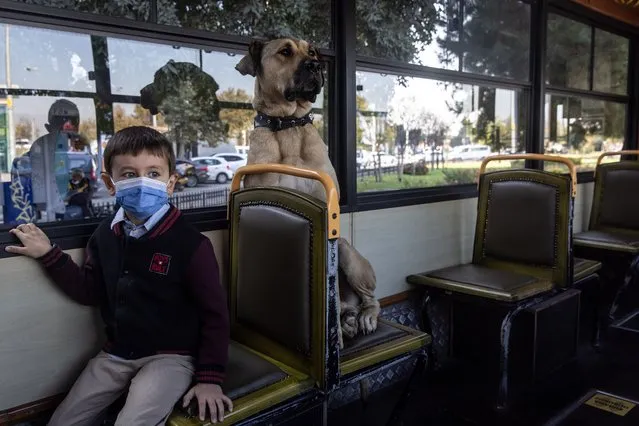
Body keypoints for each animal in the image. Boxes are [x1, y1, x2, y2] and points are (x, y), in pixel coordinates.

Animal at [238, 38, 382, 348]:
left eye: (313, 51)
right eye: (285, 51)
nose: (316, 65)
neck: (288, 126)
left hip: (347, 252)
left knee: (368, 299)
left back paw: (361, 318)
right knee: (347, 306)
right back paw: (349, 321)